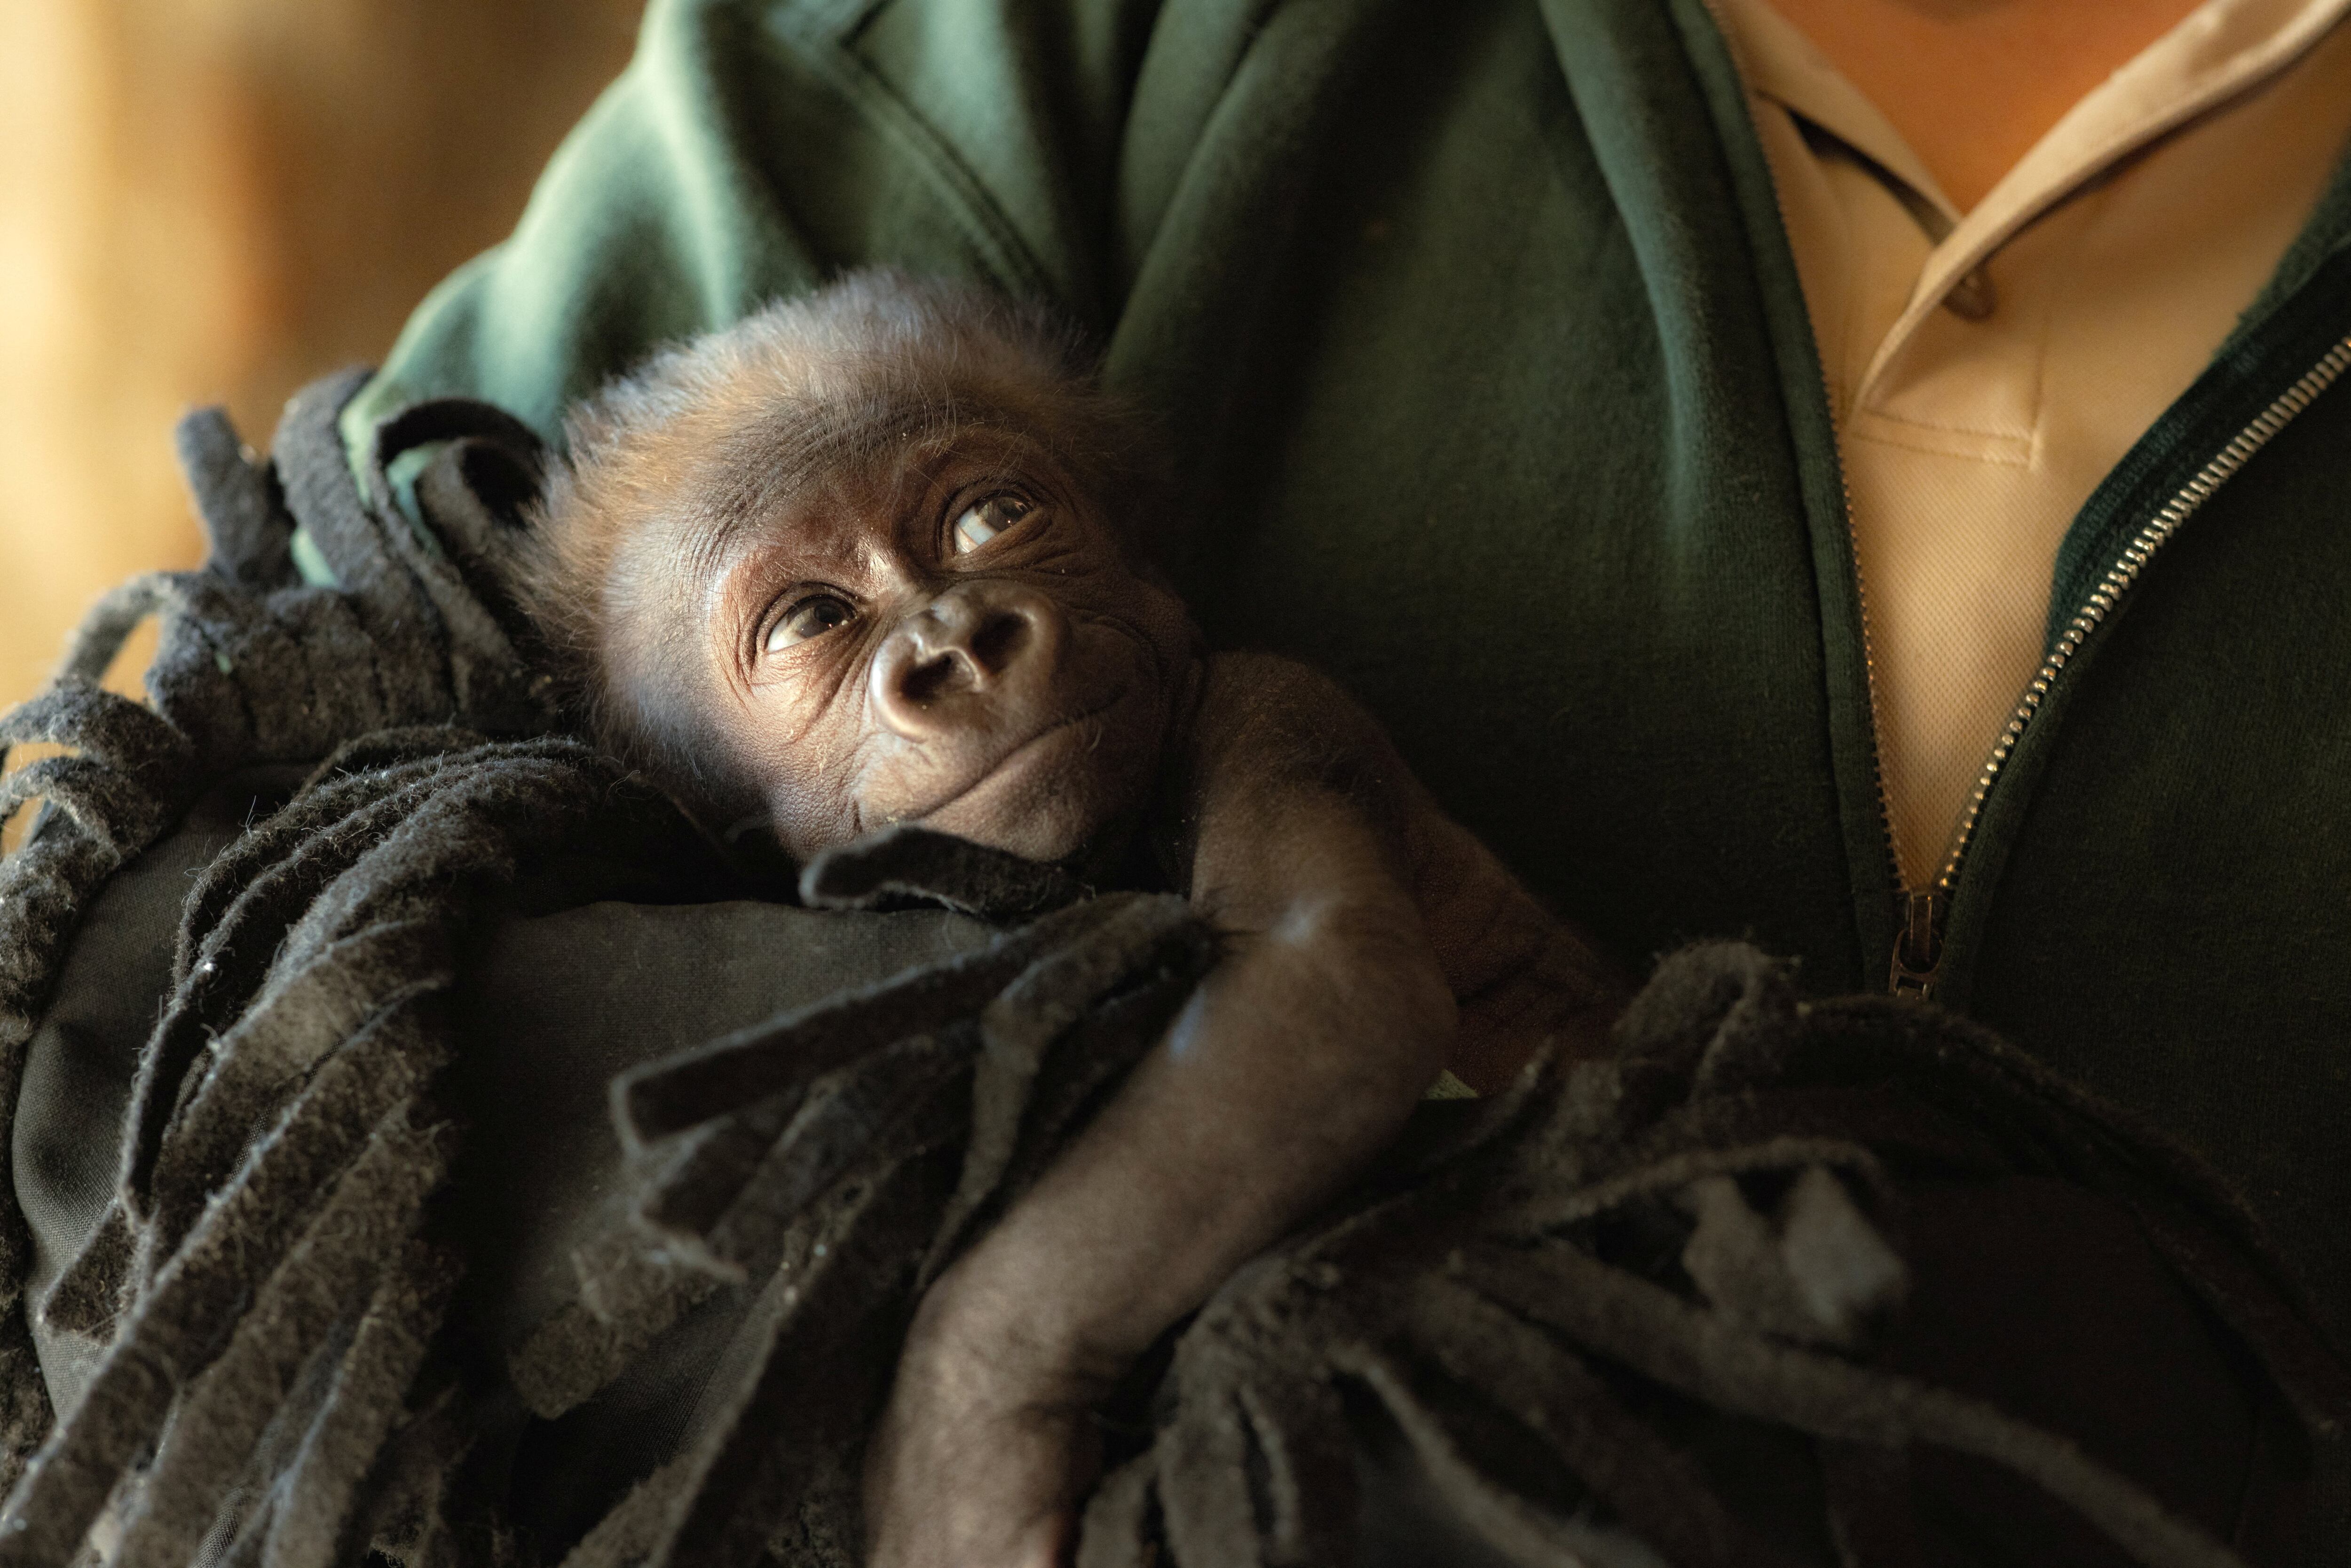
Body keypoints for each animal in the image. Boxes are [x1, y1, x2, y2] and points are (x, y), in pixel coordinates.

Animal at [520, 273, 1617, 1568]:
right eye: (809, 623)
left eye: (991, 520)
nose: (956, 643)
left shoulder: (1272, 709)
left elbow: (1329, 989)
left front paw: (969, 1432)